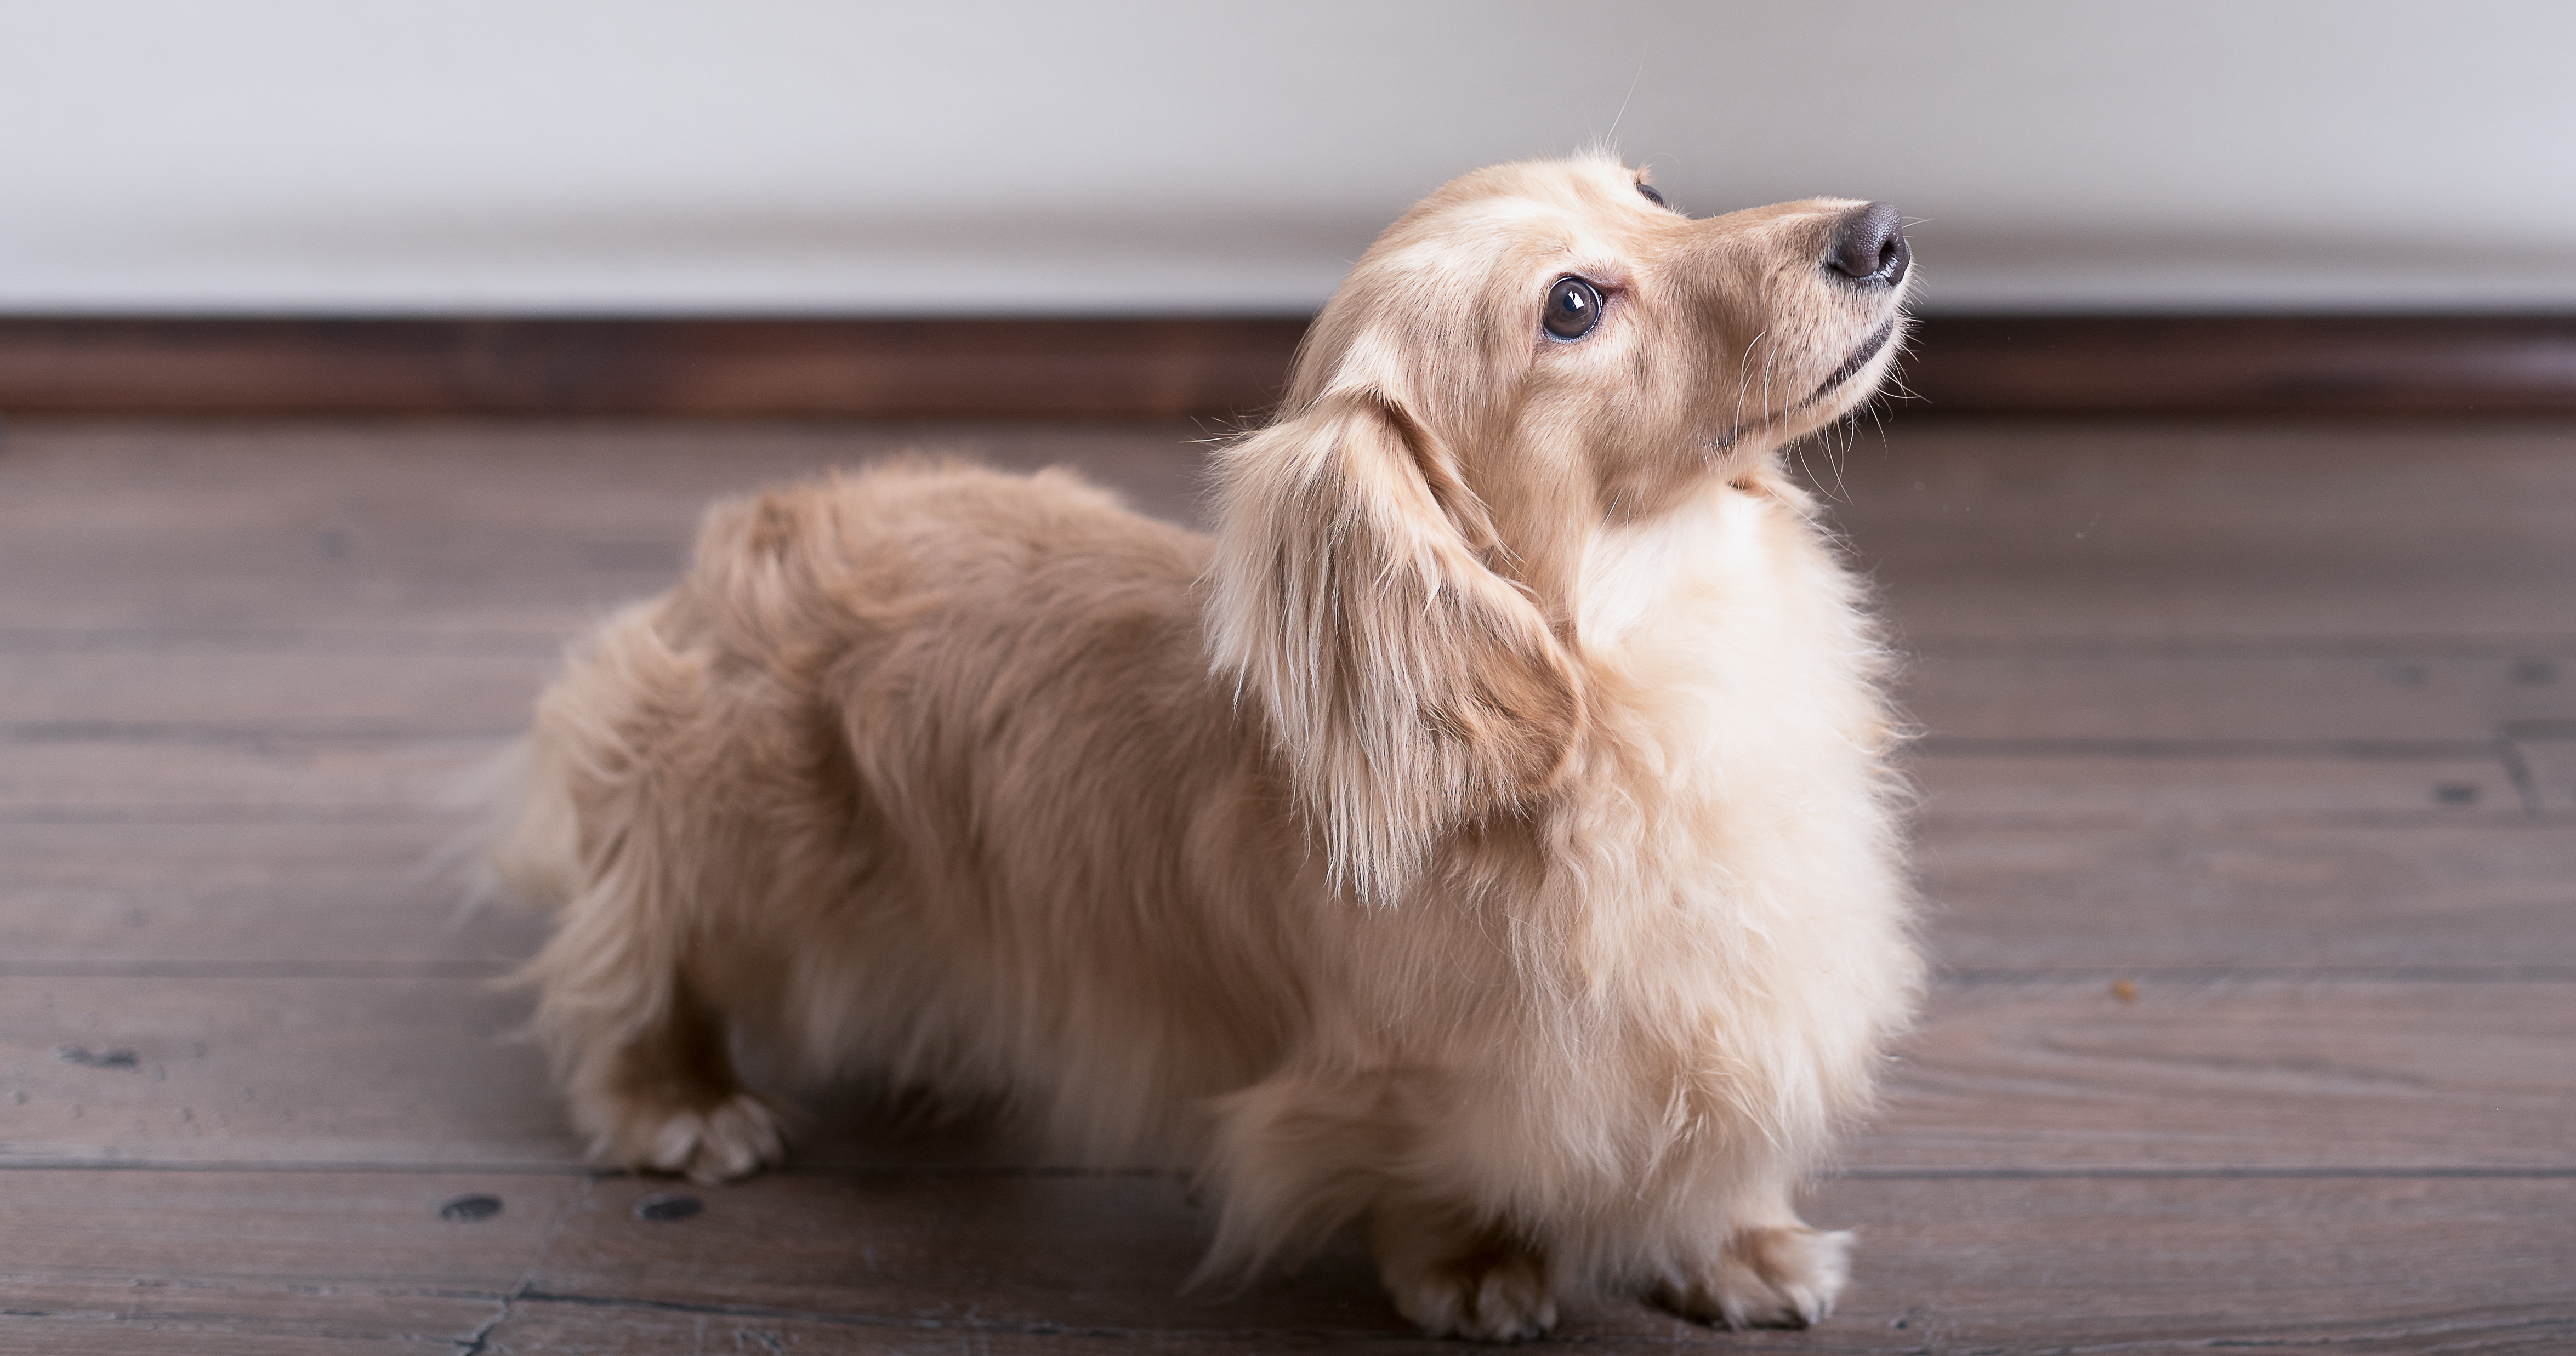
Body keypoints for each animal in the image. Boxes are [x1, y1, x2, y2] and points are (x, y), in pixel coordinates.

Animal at [492, 156, 1926, 1340]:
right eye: (1571, 306)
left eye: (1649, 191)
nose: (1881, 232)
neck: (1661, 663)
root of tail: (756, 528)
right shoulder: (1418, 1077)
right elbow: (1437, 1168)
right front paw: (1470, 1264)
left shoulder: (1759, 1003)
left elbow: (1724, 1151)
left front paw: (1742, 1248)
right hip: (726, 854)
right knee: (627, 963)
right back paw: (672, 1102)